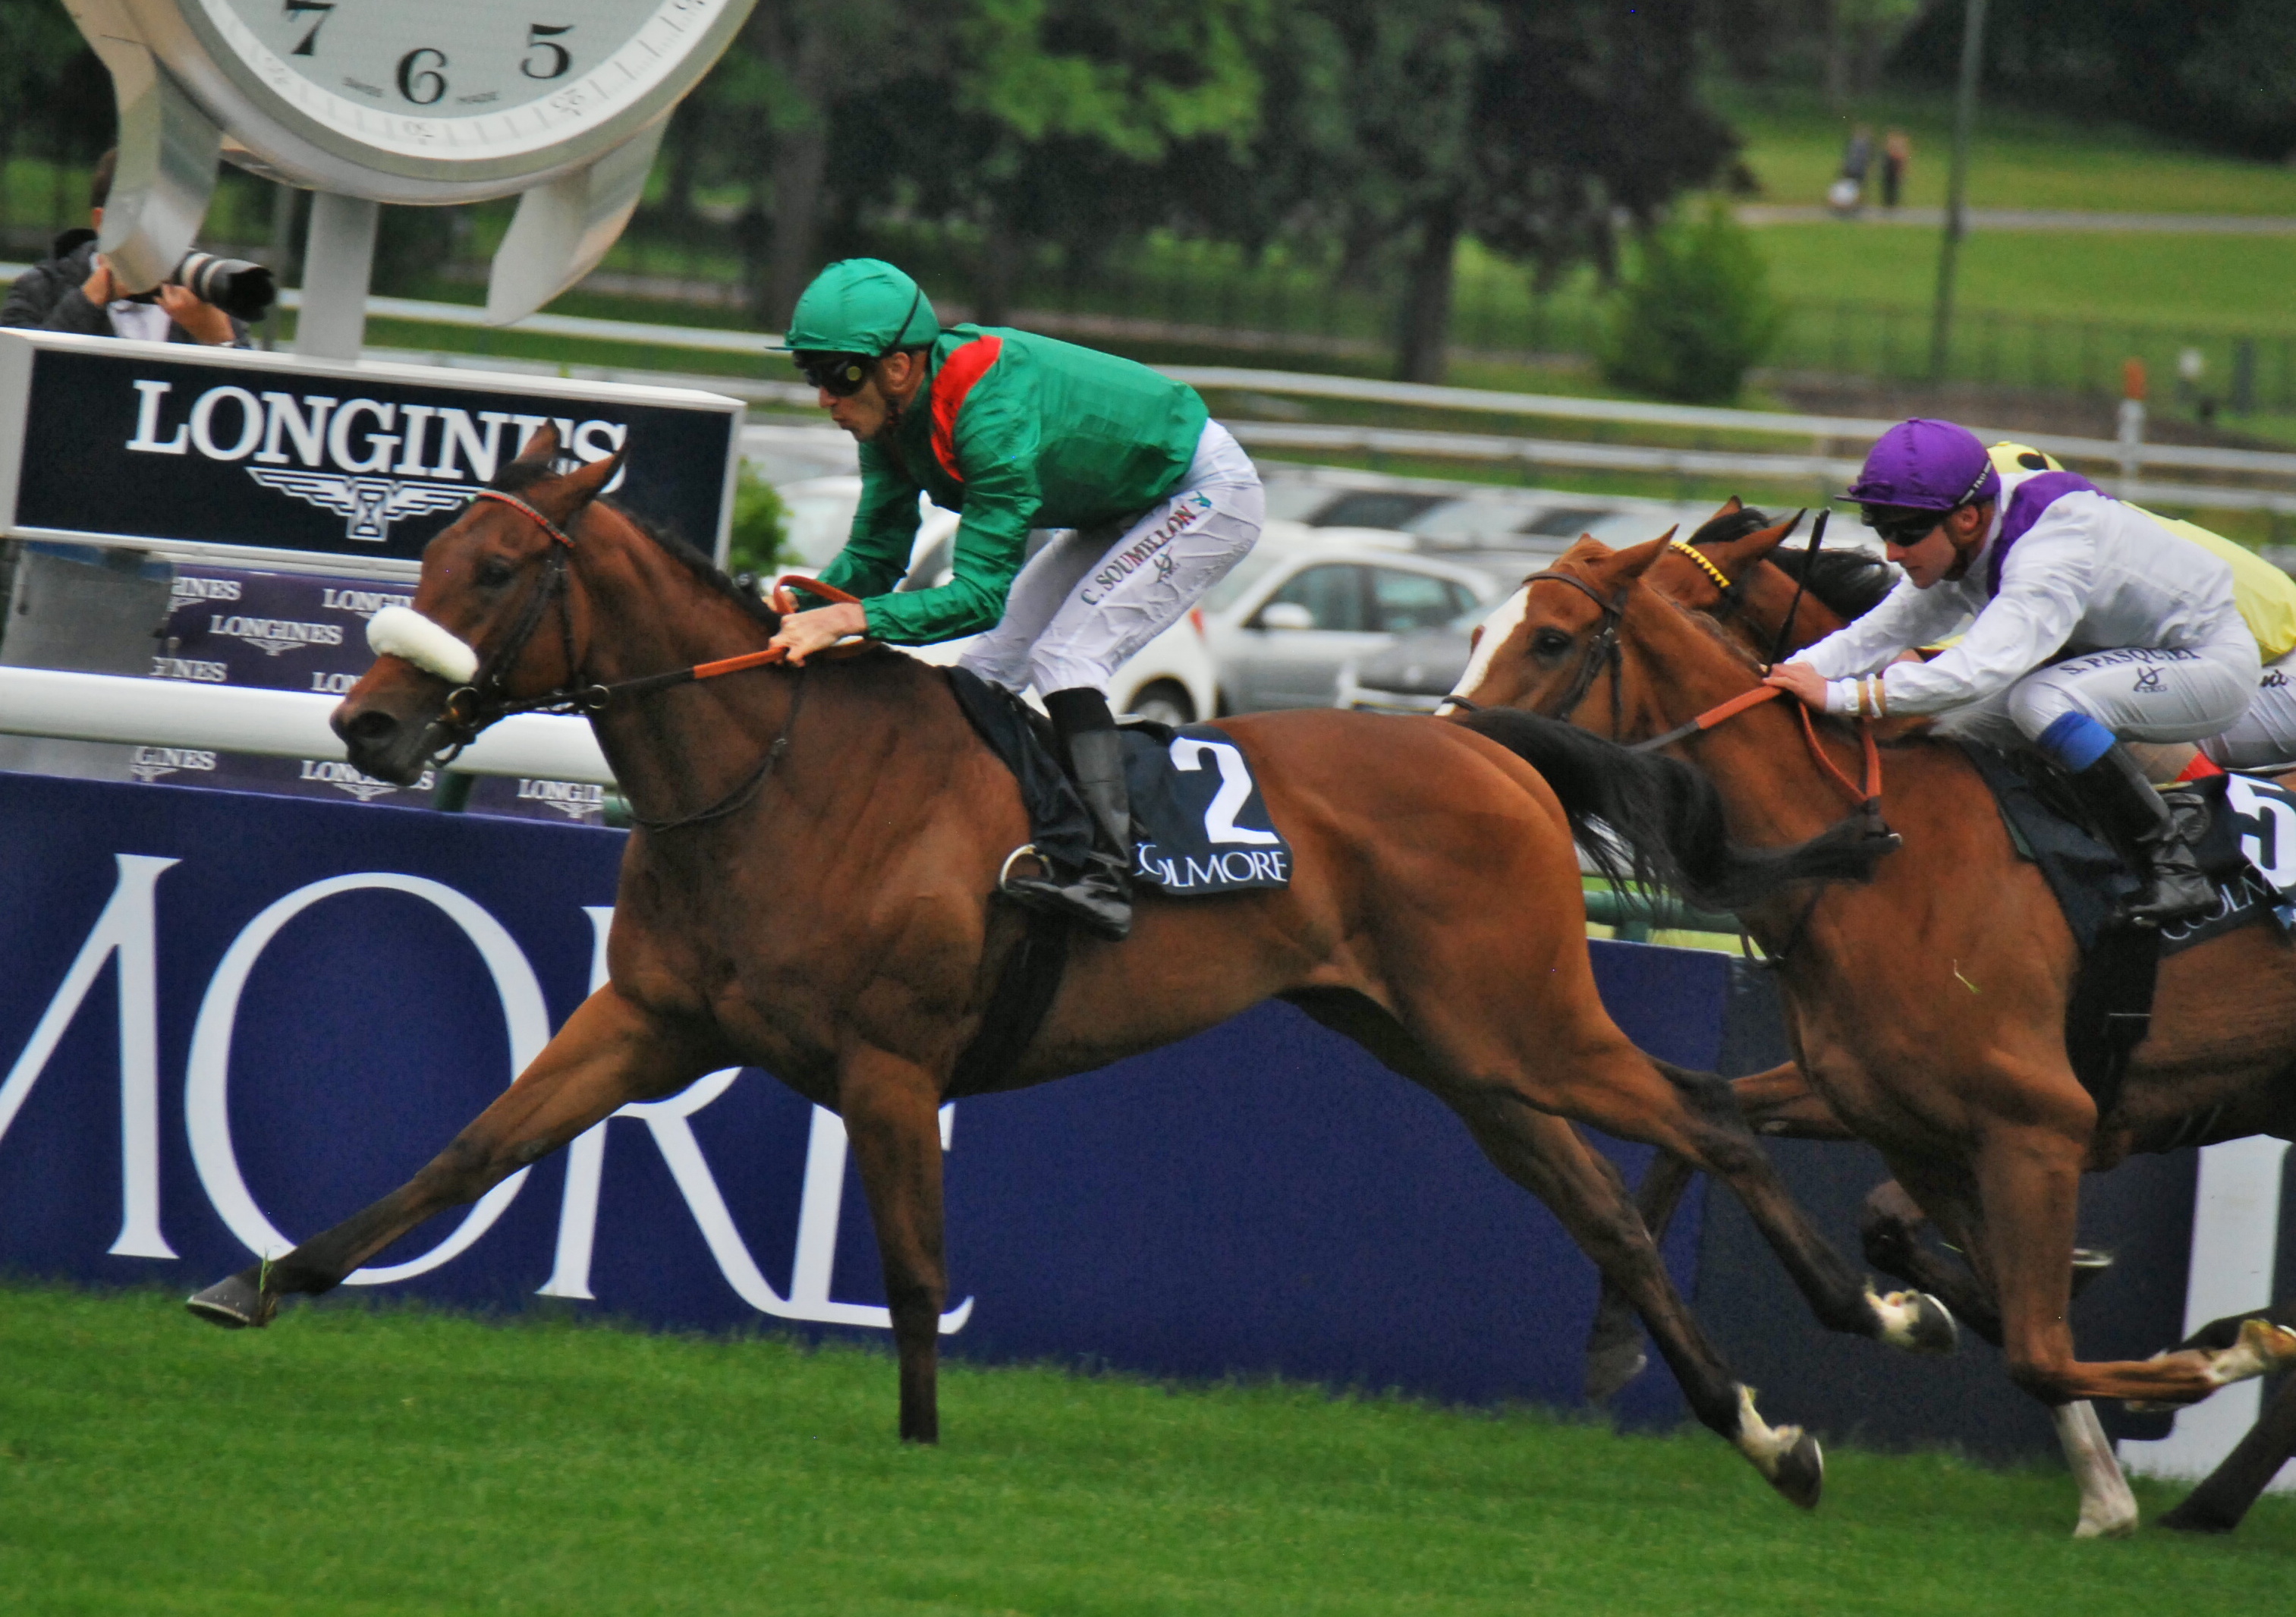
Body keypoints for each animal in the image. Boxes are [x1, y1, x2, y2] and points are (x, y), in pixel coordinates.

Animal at [184, 427, 1937, 1506]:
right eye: (428, 555)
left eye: (493, 571)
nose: (368, 725)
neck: (775, 772)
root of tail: (1493, 750)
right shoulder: (652, 1018)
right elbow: (467, 1149)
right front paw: (261, 1279)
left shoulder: (892, 1066)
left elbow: (909, 1271)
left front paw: (917, 1450)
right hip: (1452, 1054)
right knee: (1607, 1208)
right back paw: (1762, 1432)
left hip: (1522, 1022)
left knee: (1704, 1112)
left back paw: (1871, 1314)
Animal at [1451, 524, 2296, 1534]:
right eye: (1477, 631)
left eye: (1548, 640)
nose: (1451, 753)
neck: (1886, 860)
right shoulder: (1899, 1118)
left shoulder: (2039, 1125)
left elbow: (2039, 1348)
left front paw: (2197, 1366)